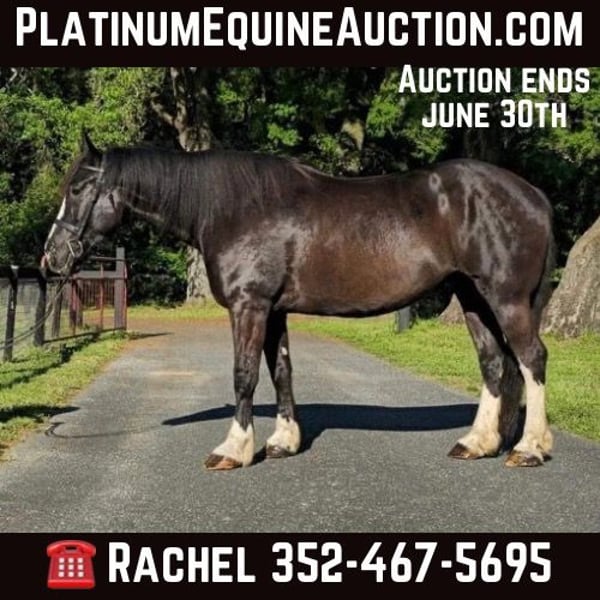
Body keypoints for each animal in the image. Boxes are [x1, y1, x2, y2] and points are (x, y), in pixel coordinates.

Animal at [42, 133, 555, 470]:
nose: (51, 257)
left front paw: (233, 449)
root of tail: (533, 195)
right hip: (472, 297)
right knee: (494, 363)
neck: (232, 206)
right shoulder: (274, 310)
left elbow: (245, 374)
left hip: (506, 298)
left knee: (531, 358)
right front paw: (283, 442)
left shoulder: (250, 306)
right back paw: (477, 442)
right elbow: (281, 371)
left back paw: (529, 448)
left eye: (77, 189)